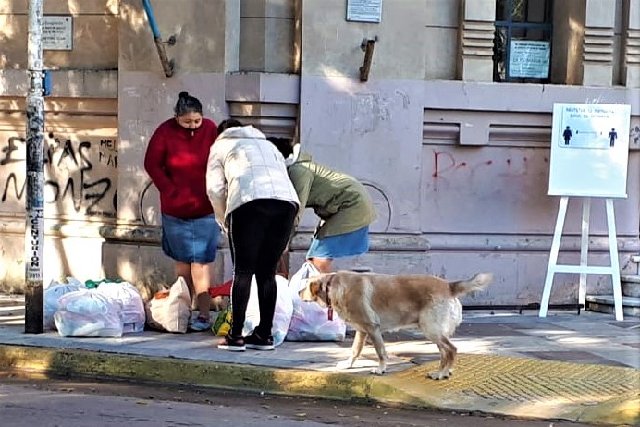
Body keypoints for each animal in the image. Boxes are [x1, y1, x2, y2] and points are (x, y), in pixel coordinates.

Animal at [302, 272, 496, 380]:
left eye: (304, 286)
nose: (297, 292)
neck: (332, 286)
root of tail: (449, 286)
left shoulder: (372, 328)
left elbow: (381, 352)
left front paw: (381, 369)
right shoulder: (362, 330)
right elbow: (355, 350)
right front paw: (348, 365)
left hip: (431, 329)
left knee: (452, 349)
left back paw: (441, 374)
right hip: (435, 332)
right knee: (445, 352)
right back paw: (444, 371)